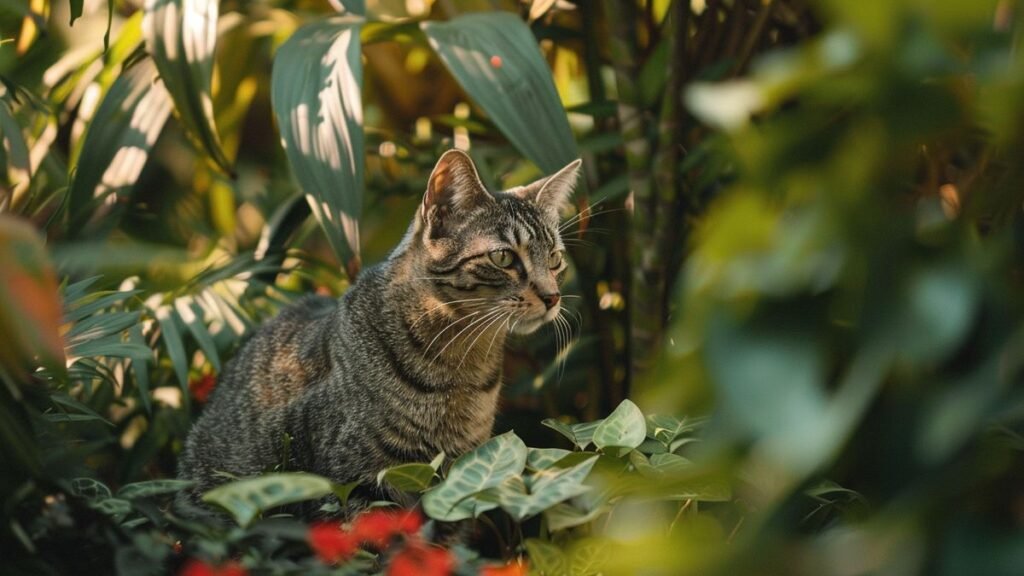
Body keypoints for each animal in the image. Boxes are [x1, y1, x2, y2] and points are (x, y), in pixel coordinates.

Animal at [172, 148, 581, 516]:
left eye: (555, 259)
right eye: (503, 257)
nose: (552, 296)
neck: (460, 366)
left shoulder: (457, 477)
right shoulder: (356, 482)